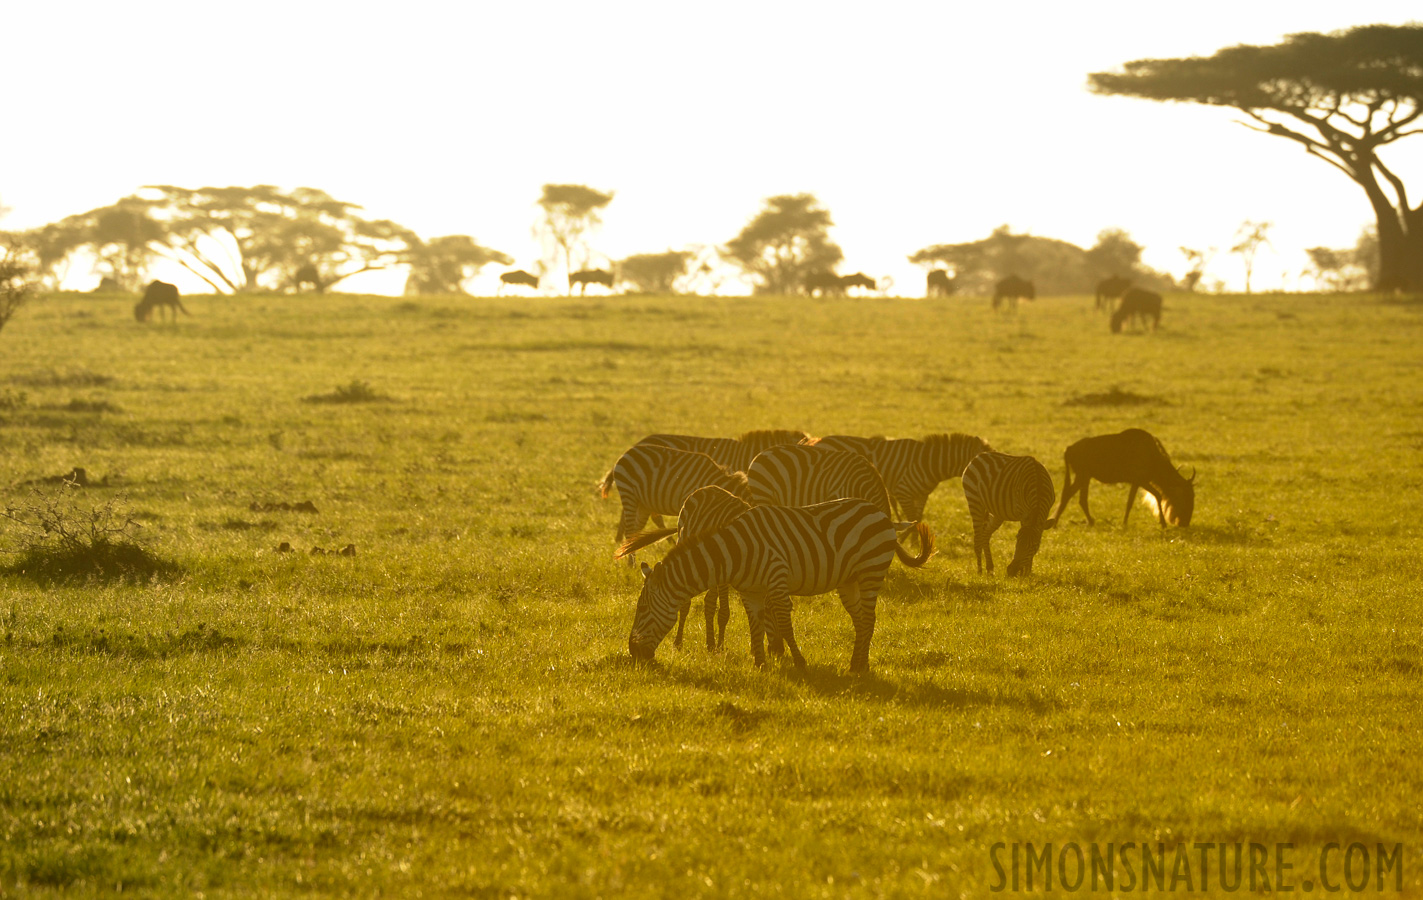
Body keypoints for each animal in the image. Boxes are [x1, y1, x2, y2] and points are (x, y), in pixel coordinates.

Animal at [603, 444, 757, 552]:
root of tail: (625, 454)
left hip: (643, 503)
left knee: (636, 530)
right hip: (629, 493)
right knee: (630, 530)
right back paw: (631, 564)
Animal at [614, 489, 751, 649]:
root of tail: (708, 488)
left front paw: (717, 646)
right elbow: (724, 612)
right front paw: (720, 647)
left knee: (708, 602)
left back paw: (710, 643)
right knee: (686, 604)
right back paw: (679, 642)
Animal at [626, 504, 933, 672]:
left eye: (642, 608)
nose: (632, 653)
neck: (736, 553)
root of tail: (881, 513)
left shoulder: (777, 579)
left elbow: (784, 625)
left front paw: (799, 662)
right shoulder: (750, 592)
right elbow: (756, 625)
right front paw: (760, 664)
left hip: (871, 571)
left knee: (869, 619)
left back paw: (856, 667)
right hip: (849, 581)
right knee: (861, 621)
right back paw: (860, 665)